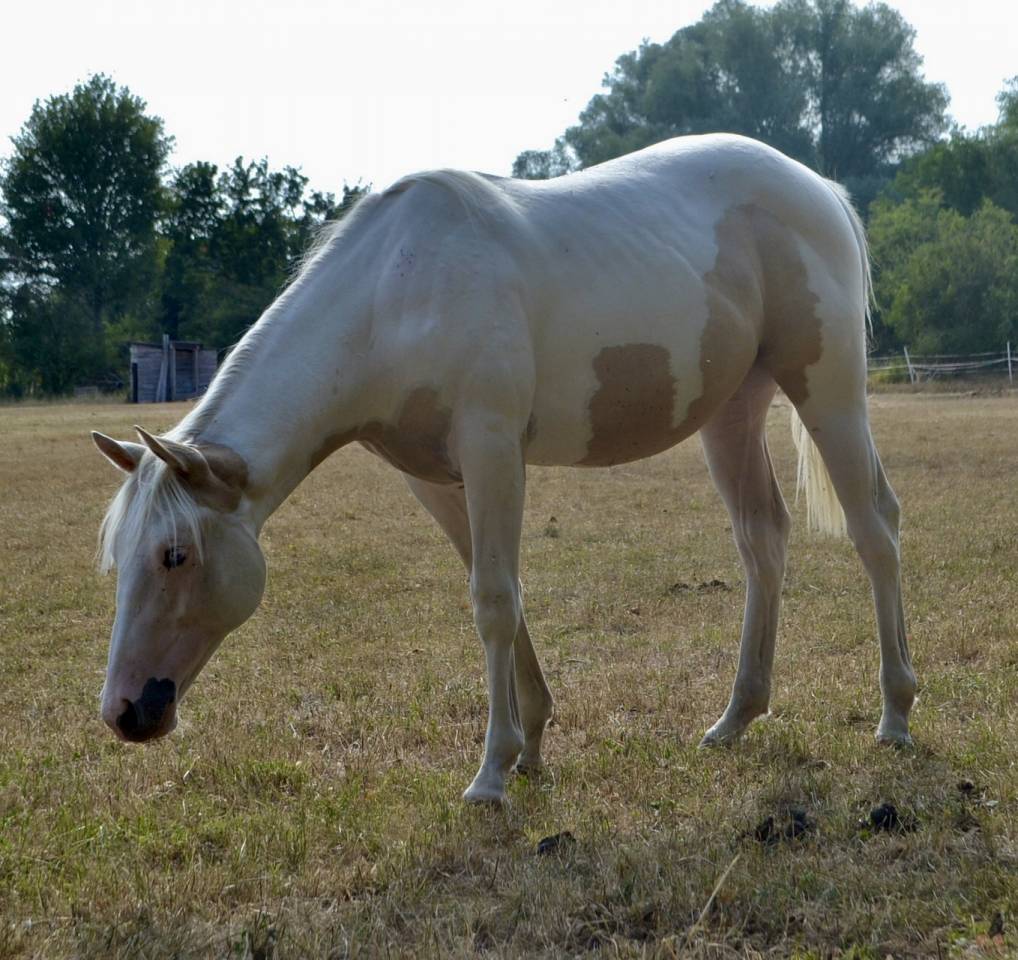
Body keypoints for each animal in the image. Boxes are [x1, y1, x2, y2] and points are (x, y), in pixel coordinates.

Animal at [92, 133, 916, 806]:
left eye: (174, 556)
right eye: (120, 561)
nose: (125, 713)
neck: (395, 296)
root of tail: (819, 188)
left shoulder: (493, 453)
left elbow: (492, 601)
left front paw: (490, 773)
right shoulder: (436, 481)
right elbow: (500, 596)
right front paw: (531, 746)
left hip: (828, 390)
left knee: (875, 528)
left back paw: (896, 714)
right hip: (731, 411)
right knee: (762, 539)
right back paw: (735, 719)